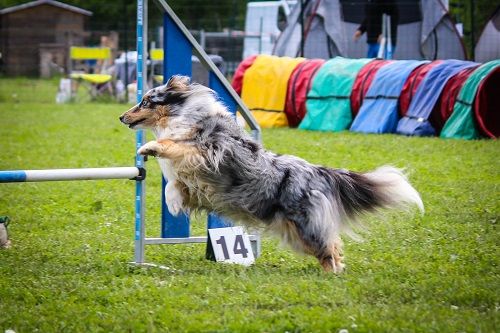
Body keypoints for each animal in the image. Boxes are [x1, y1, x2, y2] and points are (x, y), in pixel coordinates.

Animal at [120, 75, 422, 272]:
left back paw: (331, 275)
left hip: (305, 225)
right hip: (294, 232)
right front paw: (173, 202)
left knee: (328, 247)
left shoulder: (208, 153)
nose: (122, 117)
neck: (185, 115)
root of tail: (317, 172)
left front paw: (150, 147)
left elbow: (174, 146)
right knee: (333, 244)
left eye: (145, 102)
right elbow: (173, 184)